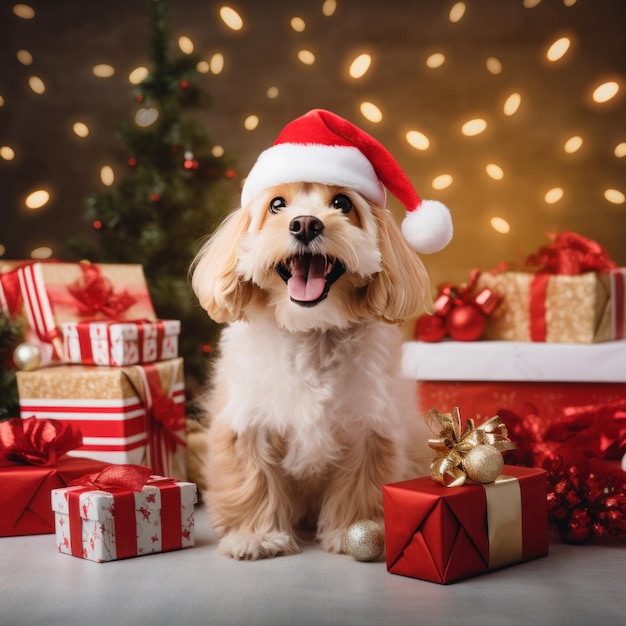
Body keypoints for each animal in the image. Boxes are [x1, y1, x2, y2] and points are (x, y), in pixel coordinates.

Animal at [188, 108, 450, 556]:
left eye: (342, 203)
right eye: (277, 204)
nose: (305, 224)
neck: (310, 332)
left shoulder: (369, 424)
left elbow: (361, 484)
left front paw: (354, 531)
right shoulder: (247, 420)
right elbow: (254, 478)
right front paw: (256, 535)